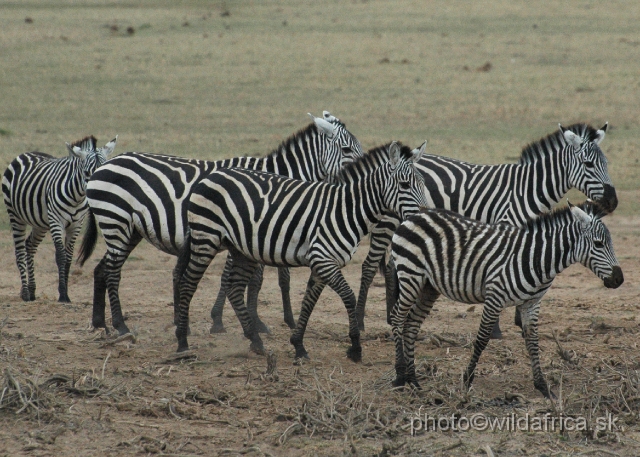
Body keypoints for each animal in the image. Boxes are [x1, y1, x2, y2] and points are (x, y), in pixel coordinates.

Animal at [3, 137, 117, 304]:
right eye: (86, 173)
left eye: (103, 171)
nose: (99, 194)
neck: (77, 197)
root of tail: (27, 153)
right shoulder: (57, 221)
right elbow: (61, 256)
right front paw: (62, 294)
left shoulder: (76, 225)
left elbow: (68, 257)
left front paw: (66, 293)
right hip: (15, 216)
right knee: (20, 252)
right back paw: (25, 293)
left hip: (41, 223)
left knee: (29, 245)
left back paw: (32, 290)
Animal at [77, 112, 362, 336]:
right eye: (348, 150)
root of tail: (104, 166)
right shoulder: (245, 232)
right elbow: (245, 280)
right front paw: (237, 321)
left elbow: (247, 279)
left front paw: (239, 320)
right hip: (116, 221)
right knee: (112, 271)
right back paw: (120, 325)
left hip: (129, 229)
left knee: (102, 269)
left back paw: (100, 322)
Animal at [174, 142, 430, 360]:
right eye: (405, 185)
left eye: (423, 184)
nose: (425, 214)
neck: (346, 209)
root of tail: (211, 175)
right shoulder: (323, 259)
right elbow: (348, 296)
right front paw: (355, 346)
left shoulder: (321, 263)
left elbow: (309, 301)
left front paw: (298, 345)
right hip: (206, 238)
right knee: (187, 284)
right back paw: (183, 341)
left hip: (240, 250)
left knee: (235, 289)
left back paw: (255, 340)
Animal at [352, 123, 616, 336]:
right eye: (589, 164)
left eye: (606, 163)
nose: (612, 201)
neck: (526, 189)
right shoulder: (505, 225)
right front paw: (497, 329)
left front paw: (519, 320)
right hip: (388, 219)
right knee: (370, 266)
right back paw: (361, 321)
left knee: (390, 265)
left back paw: (390, 316)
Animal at [388, 201, 624, 398]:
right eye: (598, 244)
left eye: (610, 243)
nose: (619, 279)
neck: (536, 259)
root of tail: (416, 215)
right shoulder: (495, 297)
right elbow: (482, 339)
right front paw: (467, 379)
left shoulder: (531, 303)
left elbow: (532, 341)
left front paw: (543, 387)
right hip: (410, 274)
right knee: (398, 318)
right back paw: (400, 376)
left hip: (429, 286)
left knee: (411, 324)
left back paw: (413, 380)